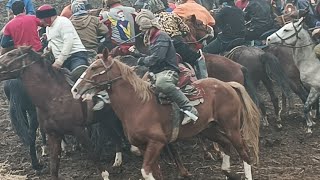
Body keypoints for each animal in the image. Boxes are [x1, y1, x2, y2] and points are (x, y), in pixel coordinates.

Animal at [0, 46, 124, 180]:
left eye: (11, 54)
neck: (54, 97)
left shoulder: (79, 130)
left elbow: (93, 154)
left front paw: (105, 175)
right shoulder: (54, 134)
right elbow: (54, 168)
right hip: (106, 120)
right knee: (116, 136)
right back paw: (118, 161)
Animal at [70, 47, 260, 180]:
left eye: (95, 68)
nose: (75, 89)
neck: (137, 104)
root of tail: (228, 85)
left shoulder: (156, 142)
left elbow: (146, 172)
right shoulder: (144, 146)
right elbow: (155, 173)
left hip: (231, 127)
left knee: (244, 152)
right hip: (208, 128)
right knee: (225, 144)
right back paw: (227, 171)